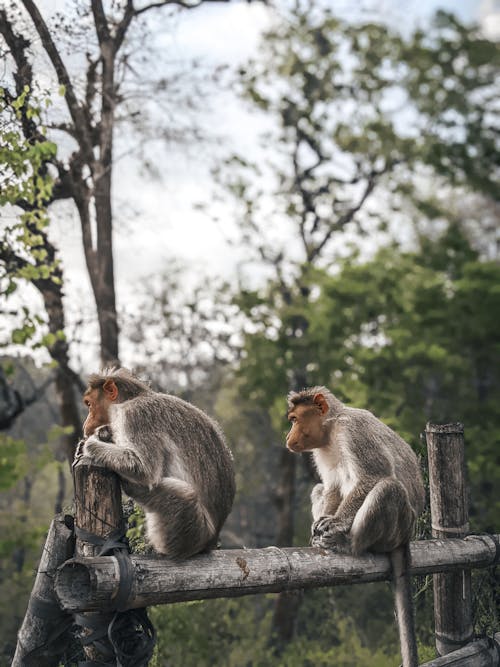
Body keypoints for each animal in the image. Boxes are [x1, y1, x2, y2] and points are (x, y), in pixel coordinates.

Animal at [76, 368, 236, 560]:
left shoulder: (135, 416)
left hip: (189, 530)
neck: (131, 399)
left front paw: (90, 444)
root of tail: (210, 541)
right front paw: (104, 434)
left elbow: (145, 470)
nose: (85, 425)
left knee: (185, 494)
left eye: (89, 404)